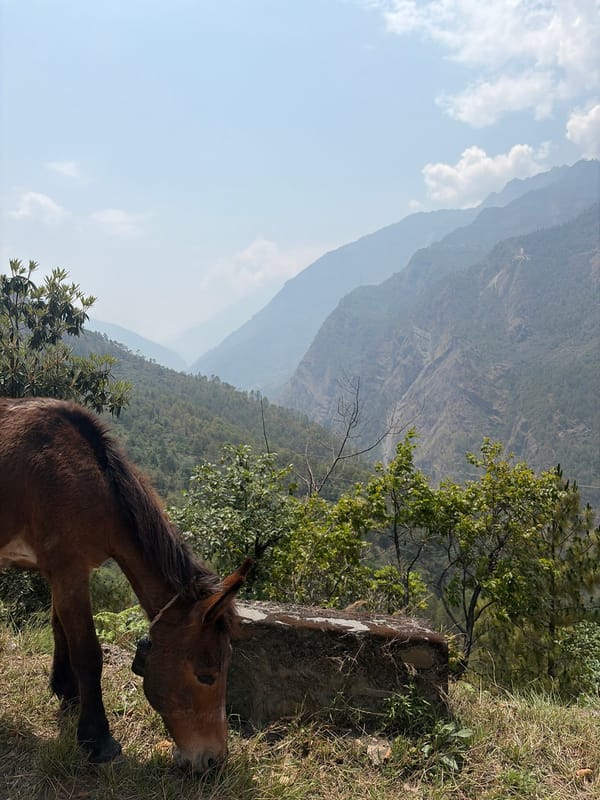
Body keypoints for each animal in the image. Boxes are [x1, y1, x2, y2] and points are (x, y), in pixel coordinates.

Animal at [0, 397, 251, 771]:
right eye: (206, 675)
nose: (213, 760)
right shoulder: (70, 569)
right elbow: (88, 652)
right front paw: (97, 738)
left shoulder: (63, 571)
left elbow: (59, 628)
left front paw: (67, 692)